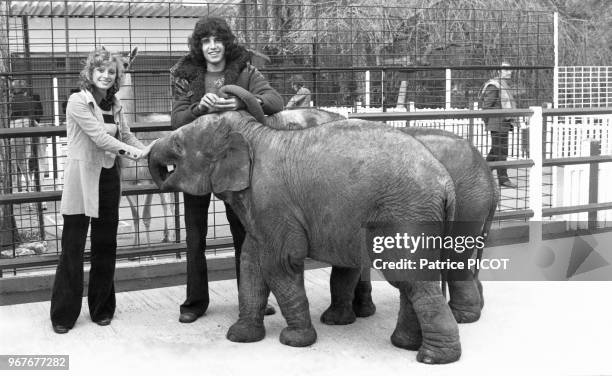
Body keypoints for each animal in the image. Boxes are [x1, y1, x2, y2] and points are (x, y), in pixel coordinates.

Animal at [147, 108, 468, 364]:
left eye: (178, 144)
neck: (255, 134)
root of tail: (445, 184)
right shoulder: (261, 210)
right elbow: (250, 263)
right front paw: (239, 336)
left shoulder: (273, 203)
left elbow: (279, 264)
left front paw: (294, 341)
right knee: (411, 280)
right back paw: (405, 345)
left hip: (405, 212)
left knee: (409, 278)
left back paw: (433, 358)